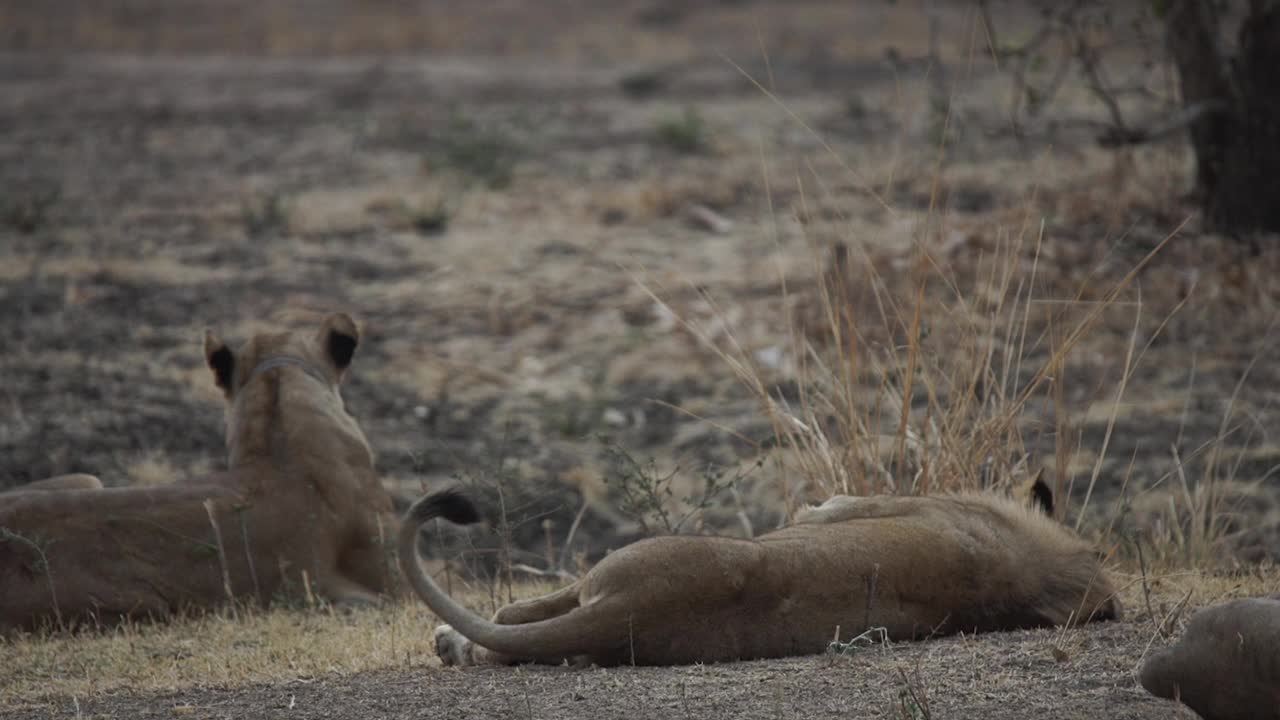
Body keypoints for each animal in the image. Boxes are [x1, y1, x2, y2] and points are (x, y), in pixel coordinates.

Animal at [396, 484, 1121, 666]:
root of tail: (632, 608)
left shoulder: (867, 503)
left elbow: (833, 504)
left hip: (606, 573)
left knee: (509, 621)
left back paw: (451, 643)